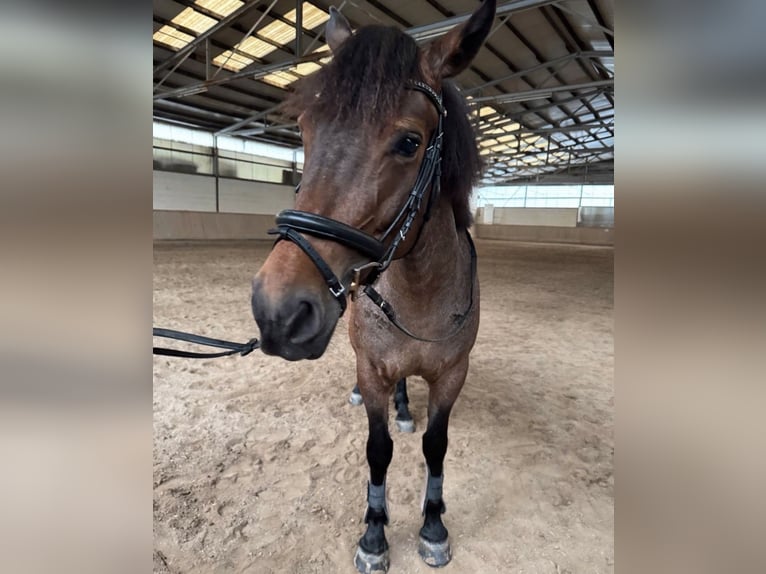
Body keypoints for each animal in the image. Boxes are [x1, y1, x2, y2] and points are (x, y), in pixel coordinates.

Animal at [250, 1, 495, 570]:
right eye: (305, 129)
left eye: (409, 142)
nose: (277, 311)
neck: (421, 292)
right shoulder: (373, 364)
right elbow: (378, 451)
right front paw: (374, 535)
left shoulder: (453, 374)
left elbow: (435, 446)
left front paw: (433, 528)